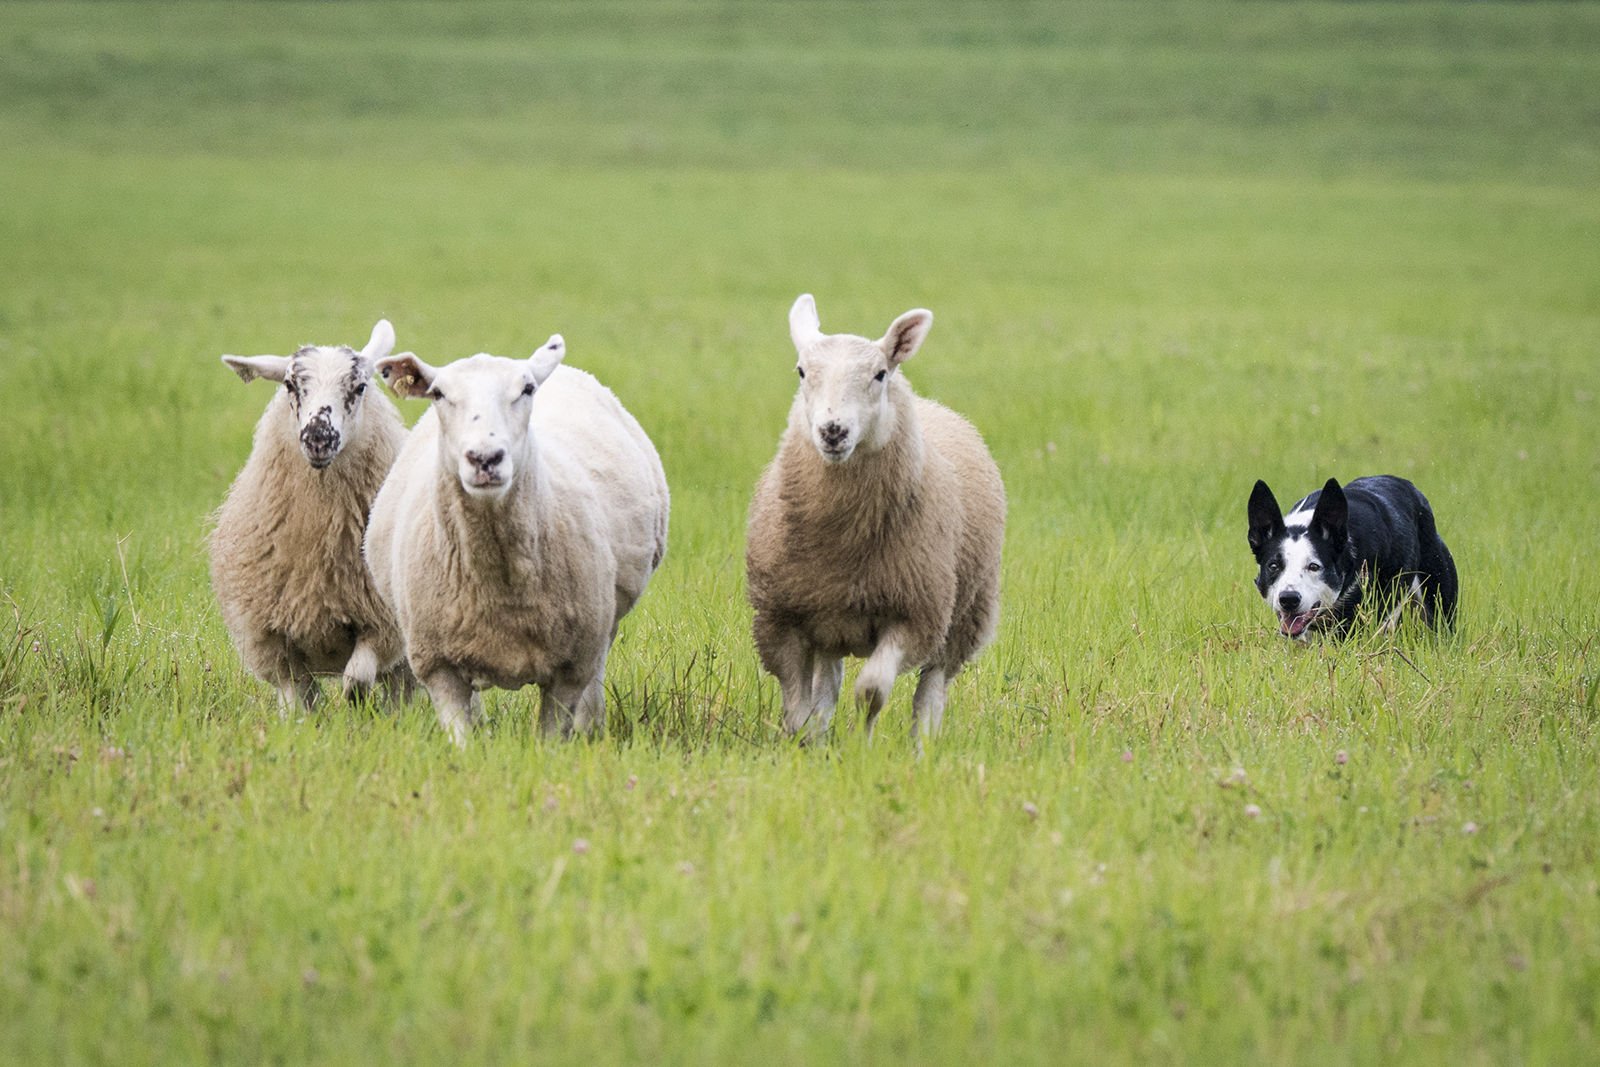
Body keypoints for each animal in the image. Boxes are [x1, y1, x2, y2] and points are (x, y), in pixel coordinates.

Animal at [210, 319, 410, 710]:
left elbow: (356, 683)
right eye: (290, 385)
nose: (319, 438)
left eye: (360, 386)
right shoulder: (275, 642)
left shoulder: (381, 627)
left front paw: (362, 714)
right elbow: (299, 701)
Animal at [364, 334, 669, 745]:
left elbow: (551, 737)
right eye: (439, 393)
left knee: (594, 686)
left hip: (601, 628)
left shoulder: (570, 668)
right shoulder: (437, 666)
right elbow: (461, 739)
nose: (485, 458)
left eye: (526, 390)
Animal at [746, 294, 1006, 744]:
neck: (840, 542)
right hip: (831, 622)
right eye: (801, 371)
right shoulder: (780, 620)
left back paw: (922, 747)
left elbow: (871, 691)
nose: (833, 431)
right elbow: (798, 705)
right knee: (827, 688)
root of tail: (934, 405)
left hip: (963, 615)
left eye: (880, 374)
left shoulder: (915, 616)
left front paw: (863, 746)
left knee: (930, 692)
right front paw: (803, 745)